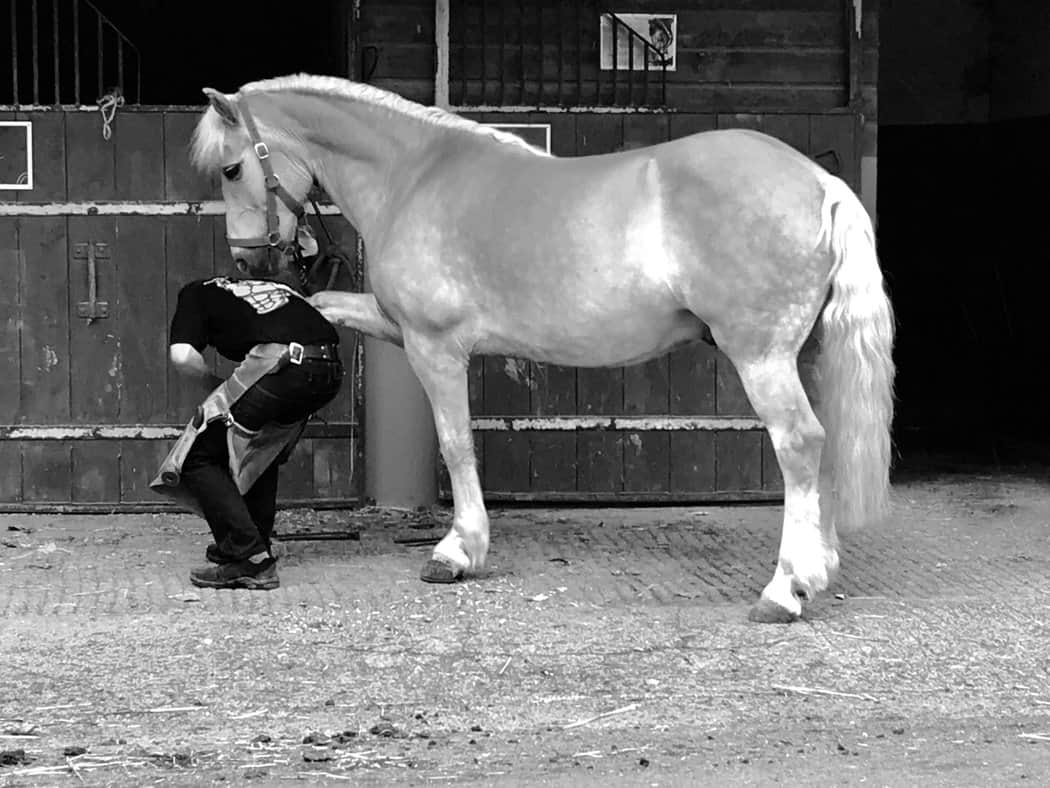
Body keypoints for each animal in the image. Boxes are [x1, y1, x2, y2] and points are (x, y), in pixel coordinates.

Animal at [190, 74, 895, 623]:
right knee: (825, 443)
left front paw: (459, 551)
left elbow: (456, 445)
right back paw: (818, 568)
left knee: (800, 444)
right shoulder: (395, 324)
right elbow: (326, 311)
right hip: (804, 356)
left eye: (231, 168)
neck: (414, 177)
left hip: (761, 358)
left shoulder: (434, 346)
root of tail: (820, 181)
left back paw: (785, 588)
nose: (250, 261)